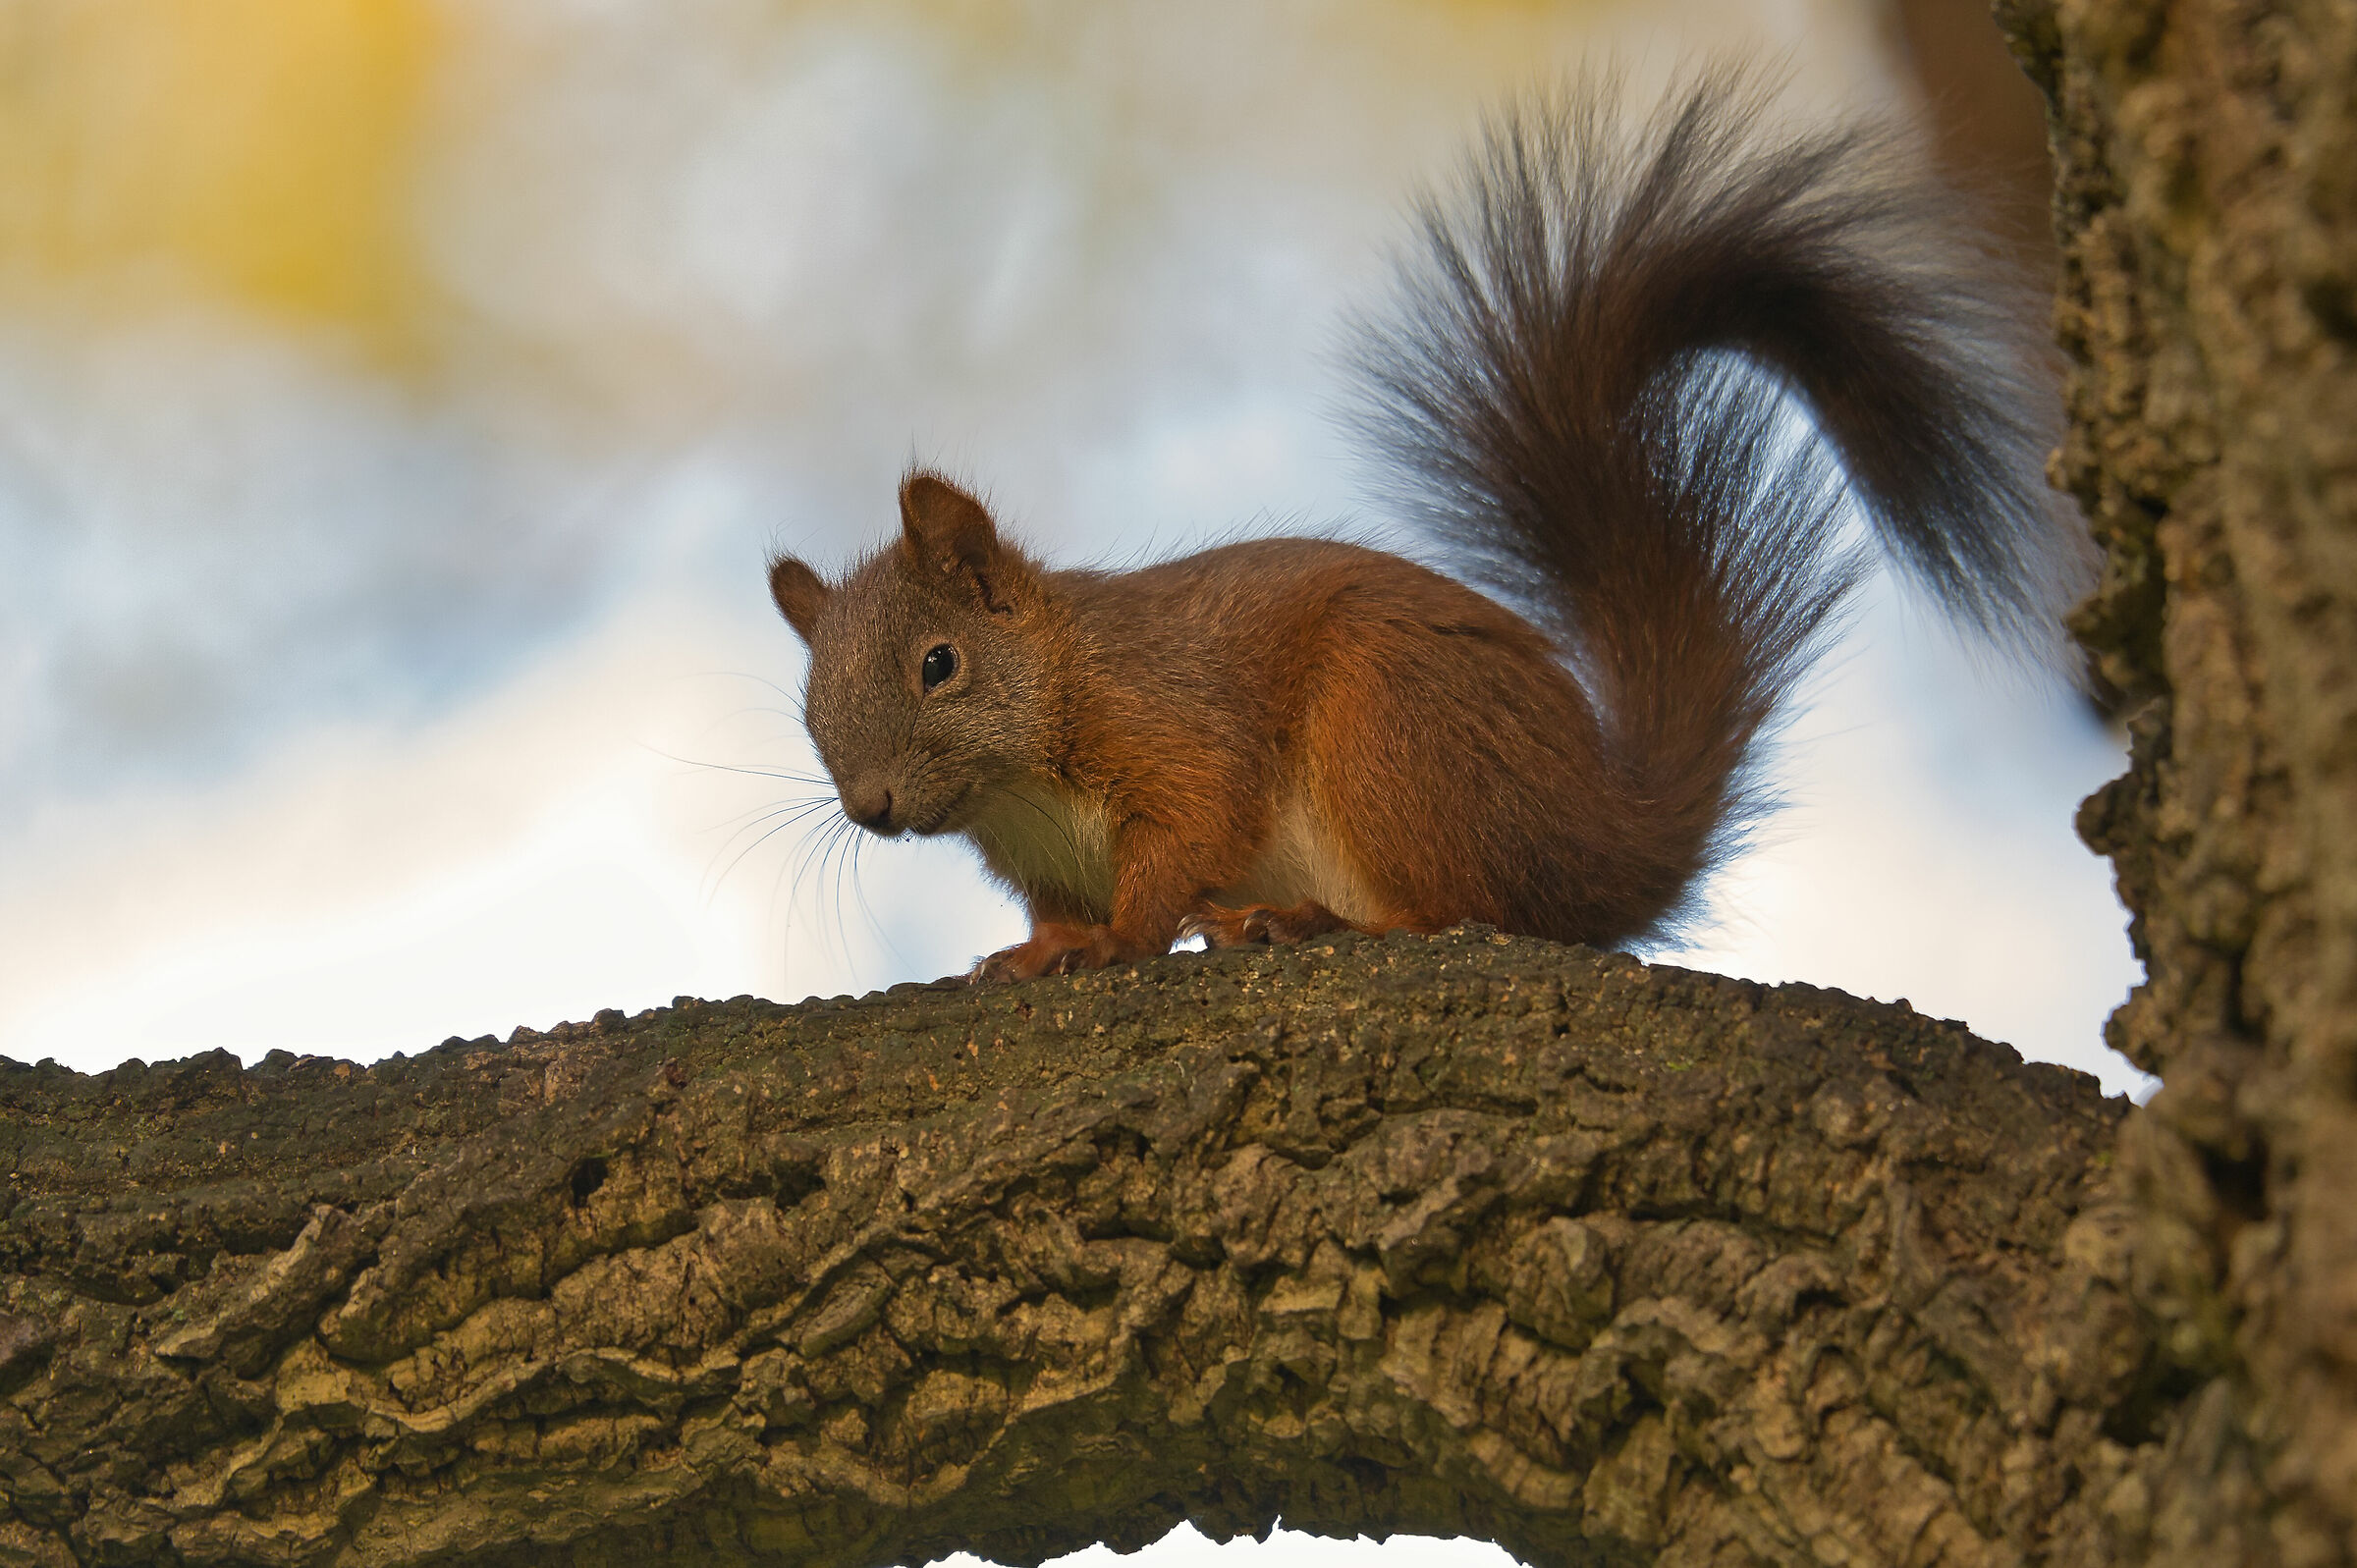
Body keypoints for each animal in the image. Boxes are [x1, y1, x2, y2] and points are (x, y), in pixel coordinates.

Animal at [764, 70, 2088, 983]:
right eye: (811, 710)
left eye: (940, 664)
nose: (872, 807)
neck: (1037, 737)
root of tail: (1599, 837)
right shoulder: (1042, 859)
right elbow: (1057, 909)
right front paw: (1044, 951)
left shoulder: (1174, 727)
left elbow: (1183, 840)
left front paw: (1117, 943)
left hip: (1389, 725)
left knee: (1459, 907)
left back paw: (1301, 916)